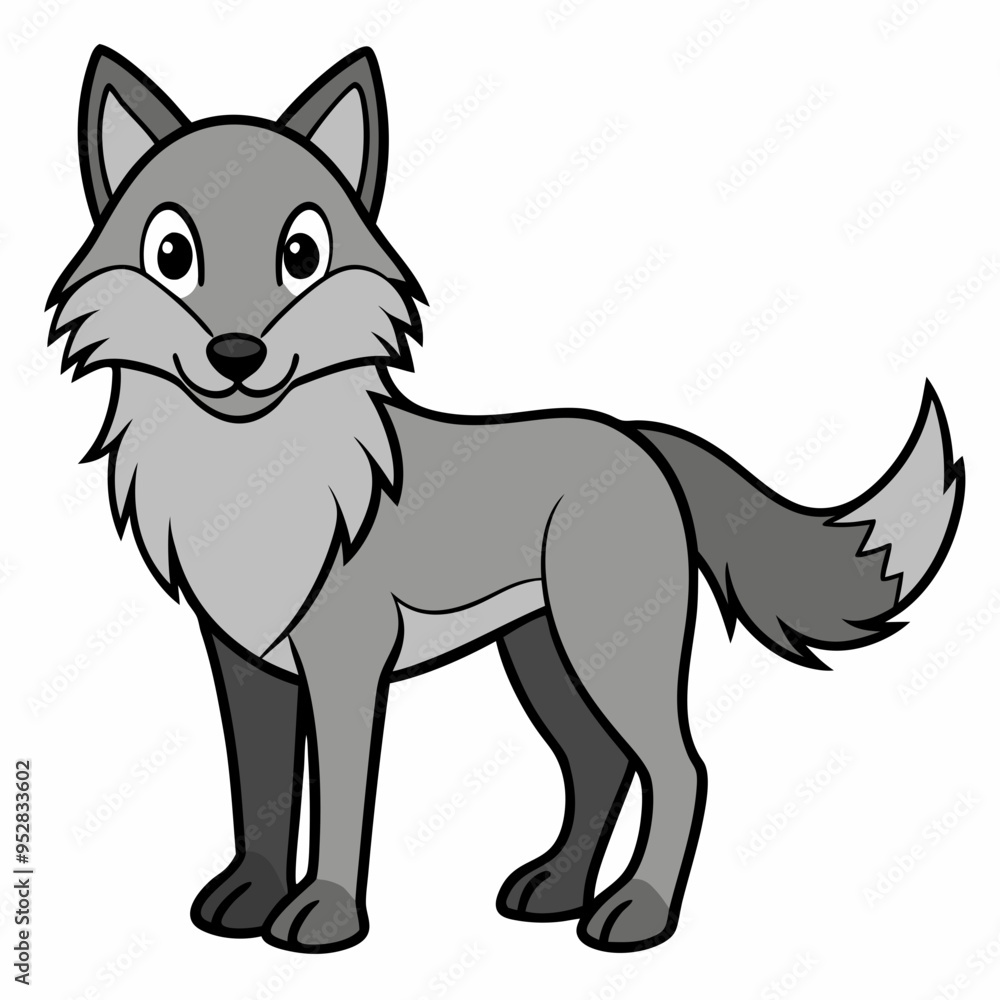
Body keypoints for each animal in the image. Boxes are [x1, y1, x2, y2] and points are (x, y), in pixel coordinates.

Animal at [49, 45, 965, 954]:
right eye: (173, 255)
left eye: (301, 254)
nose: (236, 353)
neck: (251, 477)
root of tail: (636, 438)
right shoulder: (246, 664)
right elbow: (262, 794)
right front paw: (250, 899)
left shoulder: (348, 665)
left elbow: (340, 802)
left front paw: (326, 916)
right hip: (545, 658)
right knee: (601, 765)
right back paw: (556, 890)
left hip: (609, 655)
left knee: (680, 769)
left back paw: (636, 912)